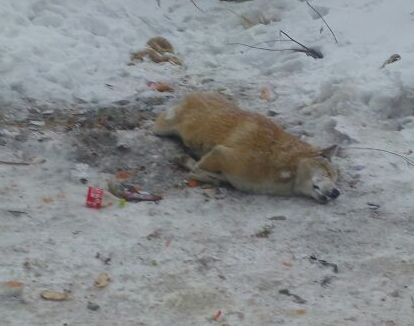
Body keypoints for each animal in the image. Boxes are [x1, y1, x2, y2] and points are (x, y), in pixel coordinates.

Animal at [154, 92, 342, 204]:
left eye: (335, 179)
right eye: (327, 173)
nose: (336, 193)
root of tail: (194, 94)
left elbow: (218, 178)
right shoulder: (220, 153)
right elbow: (197, 170)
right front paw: (189, 165)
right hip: (162, 128)